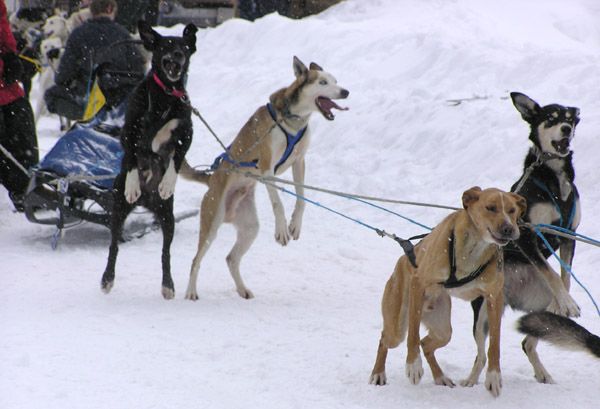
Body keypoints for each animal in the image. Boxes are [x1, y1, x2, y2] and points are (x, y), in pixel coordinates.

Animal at [100, 20, 197, 298]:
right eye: (166, 45)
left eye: (184, 47)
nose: (177, 55)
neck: (166, 95)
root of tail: (147, 200)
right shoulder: (129, 131)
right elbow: (132, 157)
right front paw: (133, 183)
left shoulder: (186, 133)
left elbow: (176, 159)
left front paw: (167, 183)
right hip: (118, 210)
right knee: (113, 245)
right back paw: (107, 278)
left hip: (168, 217)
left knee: (165, 253)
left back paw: (168, 284)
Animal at [368, 187, 528, 396]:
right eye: (491, 207)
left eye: (512, 210)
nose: (509, 228)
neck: (473, 247)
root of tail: (402, 260)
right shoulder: (418, 282)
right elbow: (413, 333)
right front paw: (413, 365)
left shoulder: (494, 297)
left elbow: (495, 343)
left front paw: (493, 376)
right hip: (397, 327)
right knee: (385, 339)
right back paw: (378, 373)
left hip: (443, 329)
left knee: (426, 344)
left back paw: (440, 377)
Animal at [464, 91, 580, 386]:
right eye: (551, 118)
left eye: (570, 119)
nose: (566, 129)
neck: (553, 178)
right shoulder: (527, 235)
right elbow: (550, 272)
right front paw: (567, 301)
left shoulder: (569, 236)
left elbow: (563, 277)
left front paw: (564, 300)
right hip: (482, 314)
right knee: (481, 354)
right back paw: (470, 381)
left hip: (536, 312)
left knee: (529, 341)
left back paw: (542, 372)